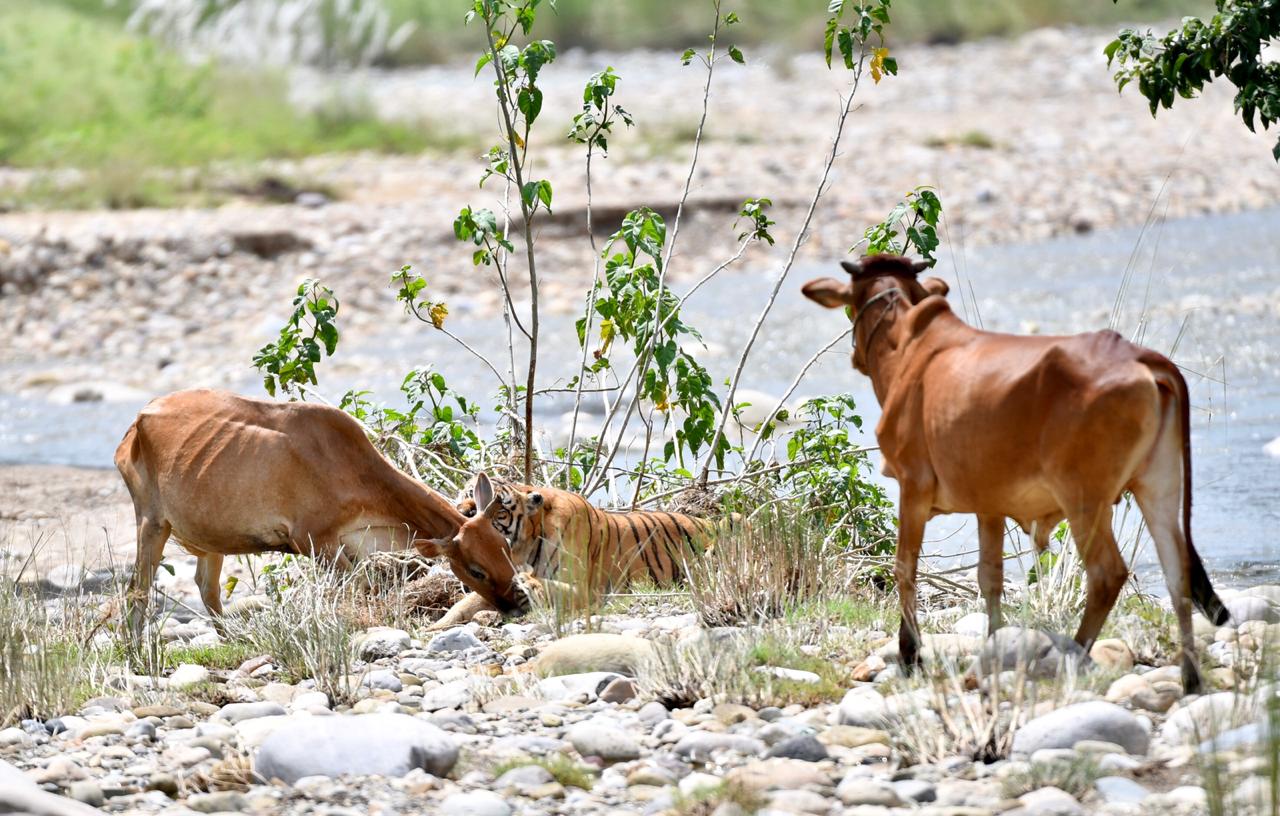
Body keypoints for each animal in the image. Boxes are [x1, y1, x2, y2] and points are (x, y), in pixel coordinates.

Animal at [427, 470, 727, 629]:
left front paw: (527, 585)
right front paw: (437, 627)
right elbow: (465, 604)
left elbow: (547, 587)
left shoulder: (583, 588)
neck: (524, 543)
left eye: (499, 510)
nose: (463, 513)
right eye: (466, 495)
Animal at [798, 253, 1228, 695]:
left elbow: (904, 568)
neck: (906, 345)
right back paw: (1190, 677)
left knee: (1107, 575)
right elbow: (990, 577)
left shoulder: (912, 486)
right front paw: (992, 645)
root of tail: (1141, 357)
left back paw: (1074, 652)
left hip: (1084, 500)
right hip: (1158, 487)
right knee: (1177, 573)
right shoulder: (989, 504)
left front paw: (909, 653)